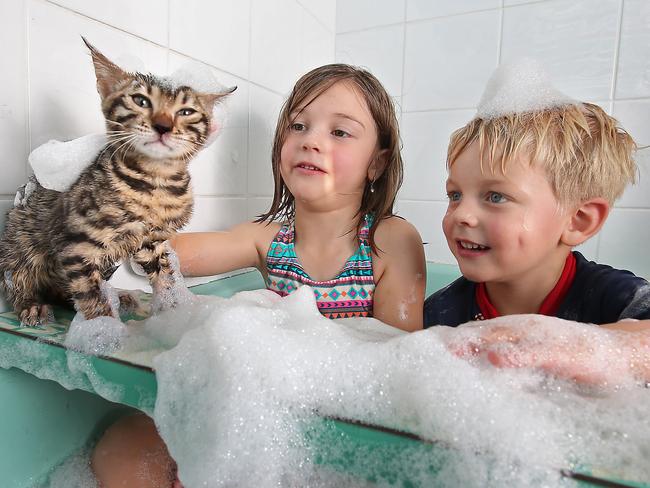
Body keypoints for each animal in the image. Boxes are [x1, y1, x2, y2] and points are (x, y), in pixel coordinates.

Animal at [0, 38, 235, 326]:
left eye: (186, 111)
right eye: (140, 100)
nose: (163, 126)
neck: (156, 183)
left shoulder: (153, 241)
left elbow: (165, 277)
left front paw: (174, 313)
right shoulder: (76, 243)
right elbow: (91, 297)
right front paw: (104, 329)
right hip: (19, 244)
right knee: (19, 278)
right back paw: (32, 305)